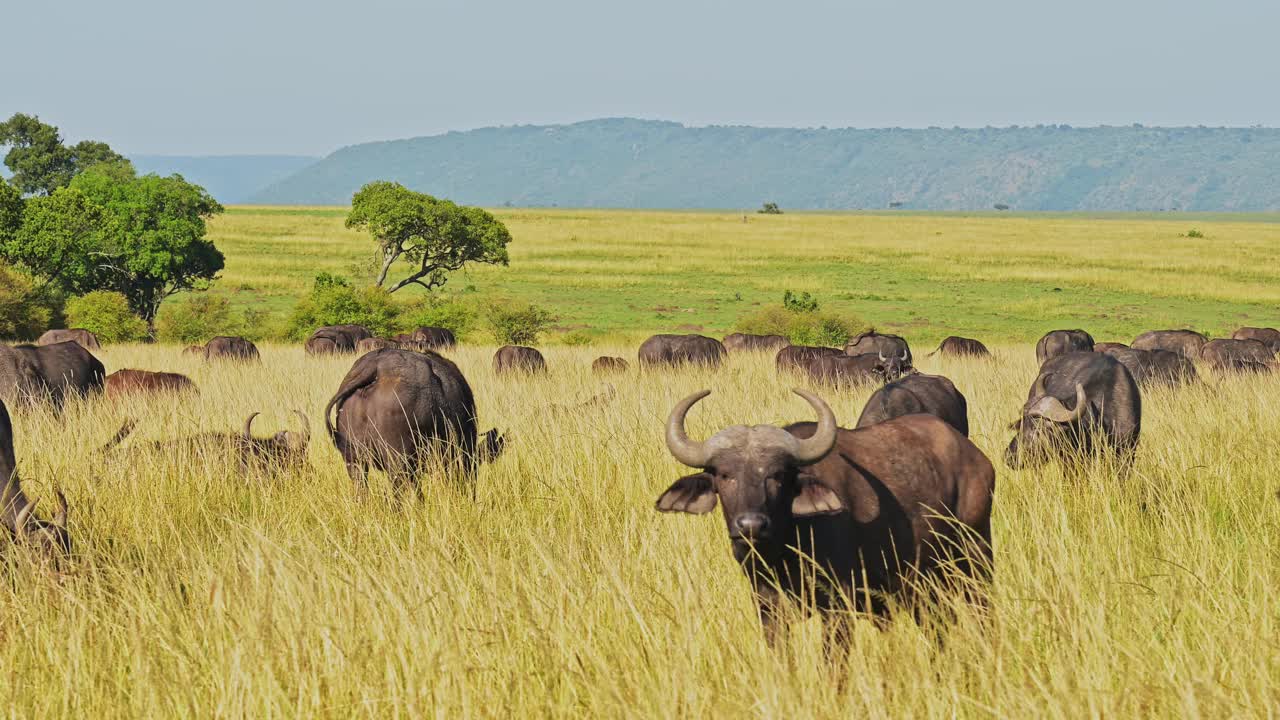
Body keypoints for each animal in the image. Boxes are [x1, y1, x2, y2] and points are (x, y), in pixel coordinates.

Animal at [655, 389, 993, 635]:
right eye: (725, 475)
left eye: (778, 475)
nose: (751, 525)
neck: (783, 551)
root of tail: (977, 459)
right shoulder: (768, 610)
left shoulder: (838, 607)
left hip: (976, 560)